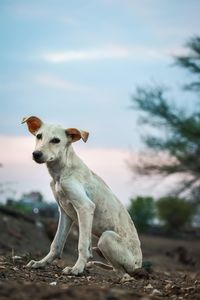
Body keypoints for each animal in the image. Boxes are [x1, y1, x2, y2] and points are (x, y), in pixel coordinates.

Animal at [22, 115, 142, 276]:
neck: (61, 171)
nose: (36, 154)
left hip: (106, 238)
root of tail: (139, 263)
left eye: (56, 140)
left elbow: (82, 244)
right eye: (38, 136)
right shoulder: (65, 212)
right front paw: (41, 263)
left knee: (123, 271)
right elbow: (56, 244)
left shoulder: (85, 207)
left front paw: (77, 268)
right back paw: (93, 265)